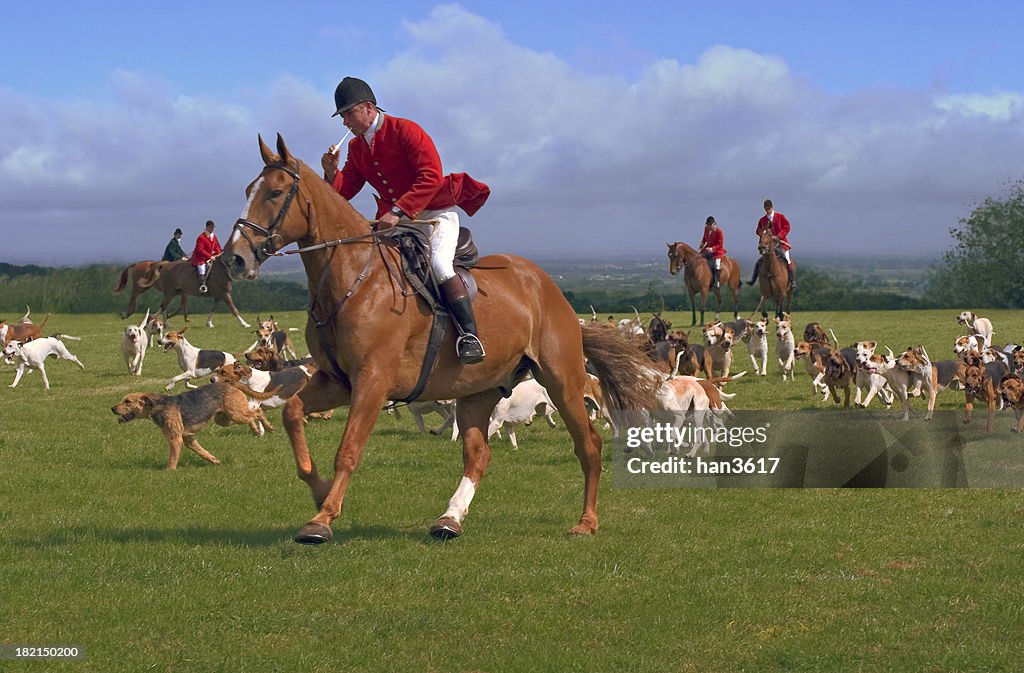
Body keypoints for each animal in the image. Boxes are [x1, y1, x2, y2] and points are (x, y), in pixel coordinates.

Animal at [112, 381, 276, 469]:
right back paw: (256, 431)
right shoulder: (187, 438)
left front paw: (169, 471)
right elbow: (201, 451)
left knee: (258, 411)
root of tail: (230, 383)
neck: (158, 407)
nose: (112, 408)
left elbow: (172, 458)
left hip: (235, 415)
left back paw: (268, 427)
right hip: (225, 418)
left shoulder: (175, 439)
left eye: (127, 401)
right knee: (251, 417)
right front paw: (214, 460)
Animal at [224, 134, 655, 544]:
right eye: (247, 189)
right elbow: (293, 414)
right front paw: (319, 491)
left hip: (561, 381)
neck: (353, 279)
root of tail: (547, 286)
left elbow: (348, 450)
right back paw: (450, 519)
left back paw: (586, 522)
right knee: (478, 455)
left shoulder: (372, 381)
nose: (234, 259)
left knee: (589, 445)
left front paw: (322, 519)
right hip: (479, 390)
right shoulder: (338, 382)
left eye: (275, 193)